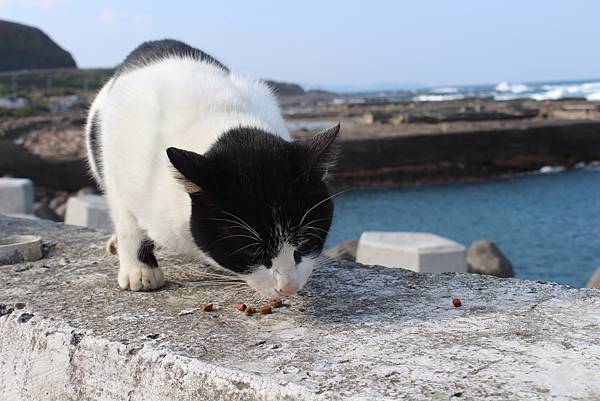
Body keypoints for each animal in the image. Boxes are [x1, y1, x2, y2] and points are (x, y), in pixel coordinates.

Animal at [85, 39, 340, 296]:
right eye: (250, 250)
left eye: (306, 240)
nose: (288, 287)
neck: (224, 117)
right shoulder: (118, 159)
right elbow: (128, 222)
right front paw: (139, 269)